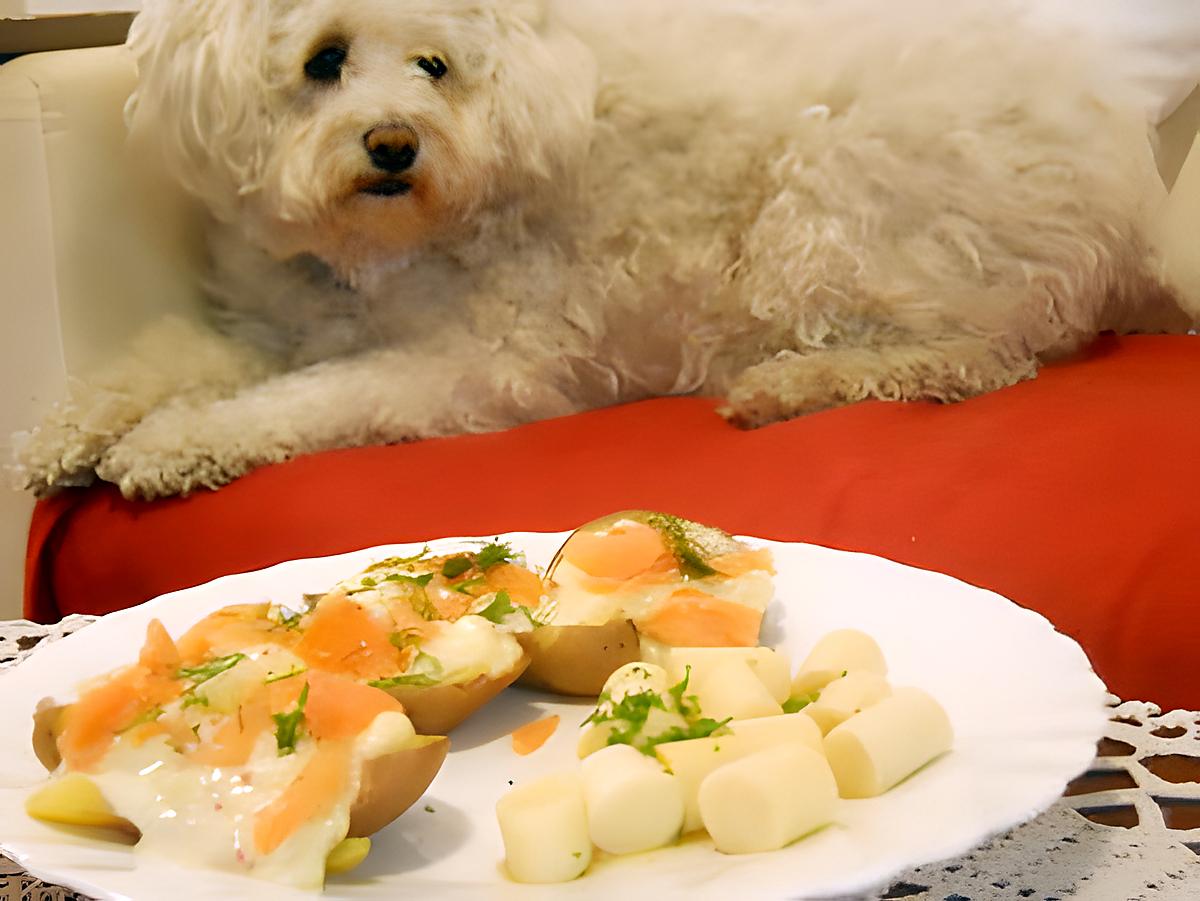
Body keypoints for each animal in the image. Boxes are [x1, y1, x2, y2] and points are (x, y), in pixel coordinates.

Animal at [14, 0, 1195, 501]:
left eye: (435, 65)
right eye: (324, 60)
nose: (394, 145)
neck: (384, 245)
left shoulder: (469, 369)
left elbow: (300, 404)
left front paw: (168, 446)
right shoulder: (276, 320)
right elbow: (165, 358)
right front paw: (67, 432)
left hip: (832, 195)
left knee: (972, 356)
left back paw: (785, 384)